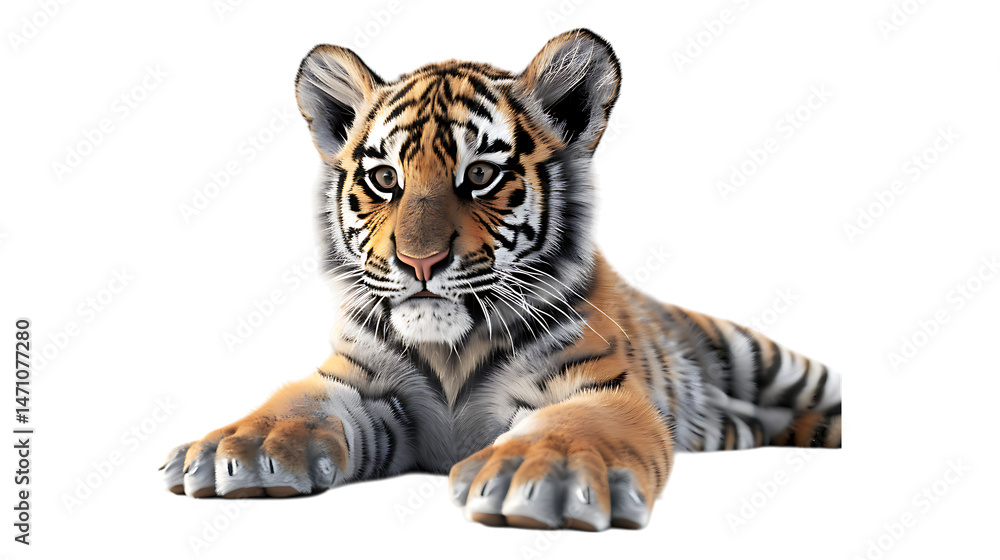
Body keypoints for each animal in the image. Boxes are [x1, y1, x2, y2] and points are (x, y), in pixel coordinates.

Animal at [161, 28, 841, 531]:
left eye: (481, 175)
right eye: (385, 179)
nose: (420, 262)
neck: (450, 352)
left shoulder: (598, 388)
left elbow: (574, 429)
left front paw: (543, 476)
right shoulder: (360, 385)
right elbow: (293, 404)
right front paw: (236, 449)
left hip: (766, 359)